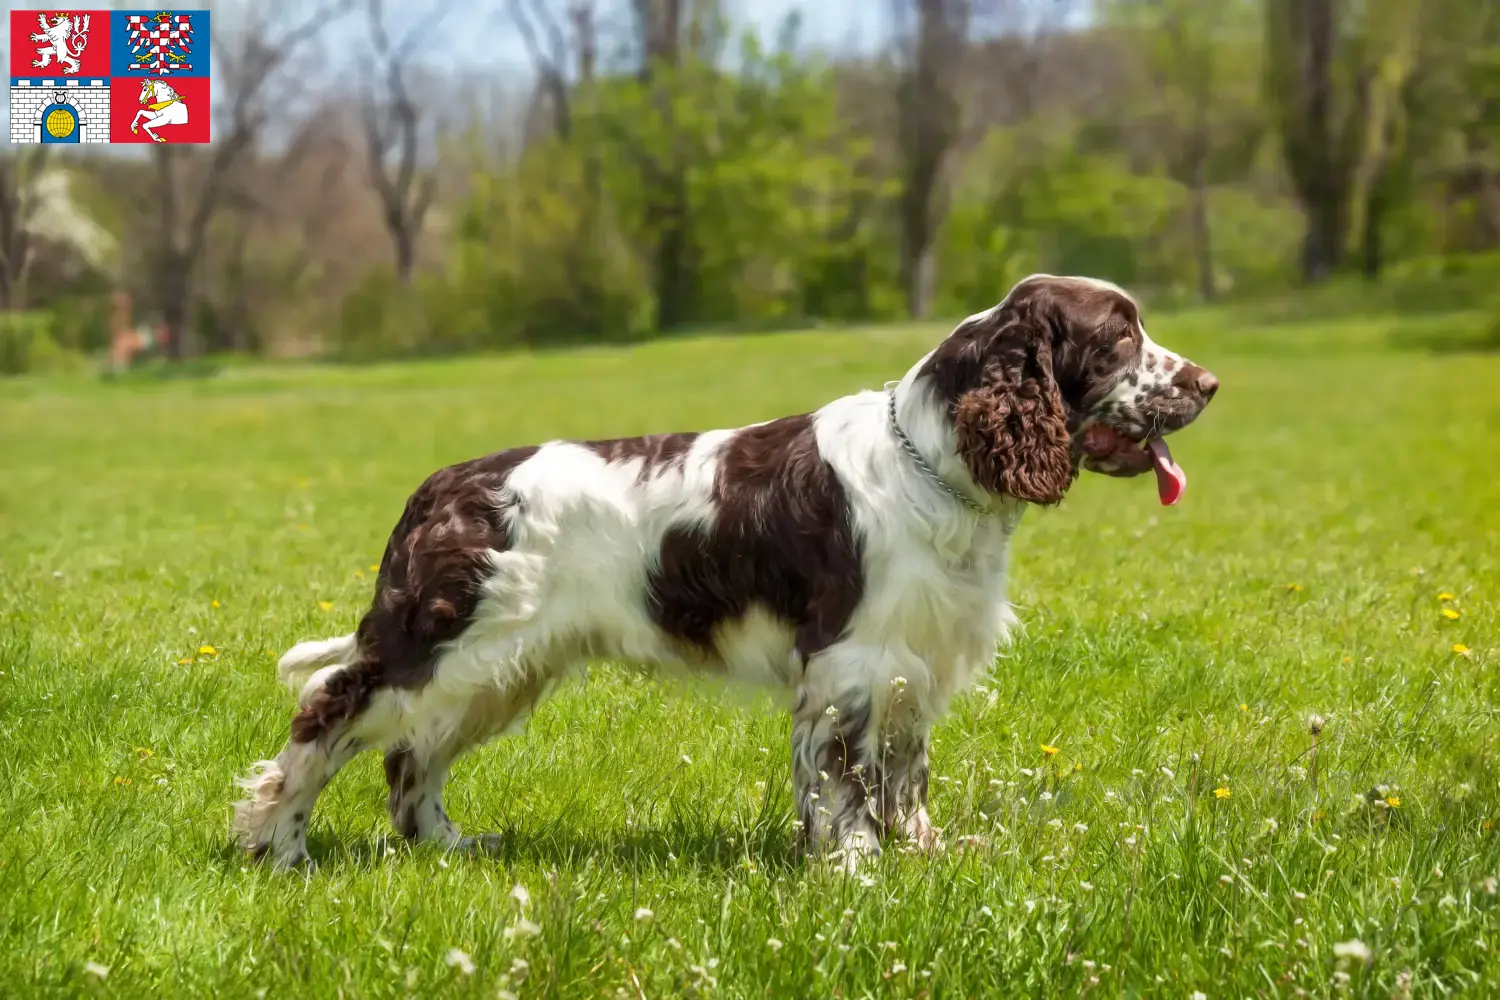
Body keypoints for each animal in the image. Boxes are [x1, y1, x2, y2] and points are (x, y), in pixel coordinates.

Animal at [234, 274, 1218, 869]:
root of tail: (440, 487)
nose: (1208, 384)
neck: (931, 460)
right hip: (442, 643)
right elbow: (843, 781)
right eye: (1119, 336)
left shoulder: (911, 664)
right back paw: (279, 844)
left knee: (414, 756)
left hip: (500, 667)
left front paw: (923, 852)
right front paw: (857, 870)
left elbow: (904, 774)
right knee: (328, 705)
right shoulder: (850, 663)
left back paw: (446, 846)